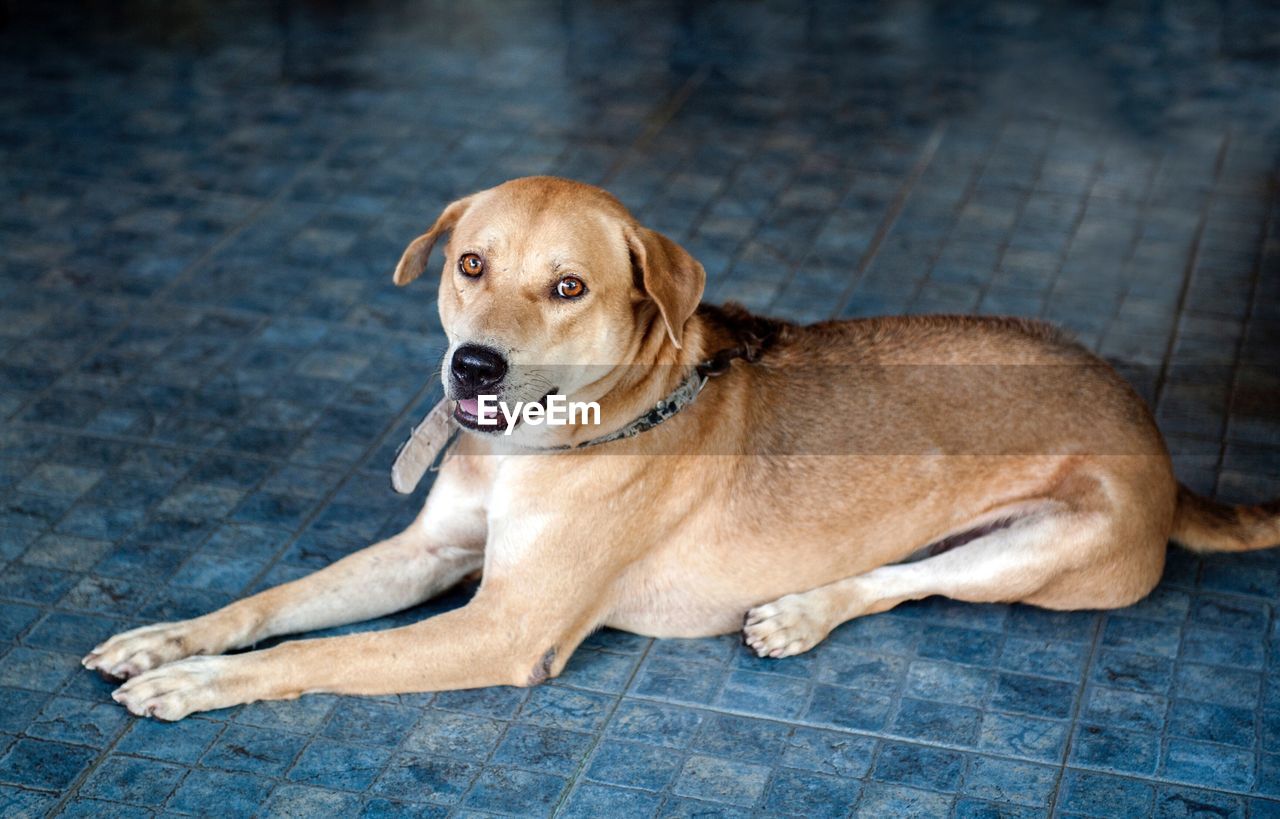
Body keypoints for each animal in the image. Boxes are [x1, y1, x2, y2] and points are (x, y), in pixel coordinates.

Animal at [82, 177, 1280, 716]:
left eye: (568, 287)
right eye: (469, 264)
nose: (472, 367)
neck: (548, 445)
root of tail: (1154, 433)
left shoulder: (505, 627)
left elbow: (317, 655)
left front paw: (195, 684)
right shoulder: (430, 554)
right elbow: (274, 603)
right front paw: (169, 639)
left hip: (1046, 552)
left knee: (904, 581)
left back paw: (799, 614)